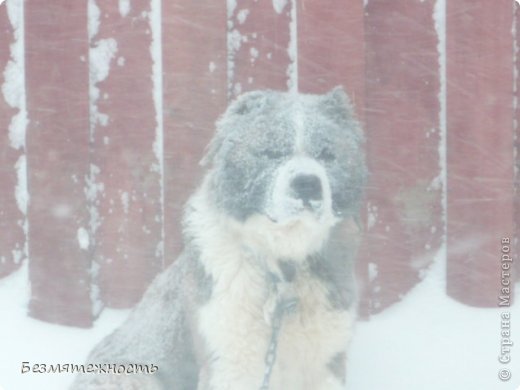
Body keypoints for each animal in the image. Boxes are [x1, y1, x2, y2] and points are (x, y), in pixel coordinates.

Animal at [71, 87, 368, 390]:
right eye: (272, 152)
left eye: (327, 155)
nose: (307, 184)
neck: (282, 270)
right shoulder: (231, 362)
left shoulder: (326, 362)